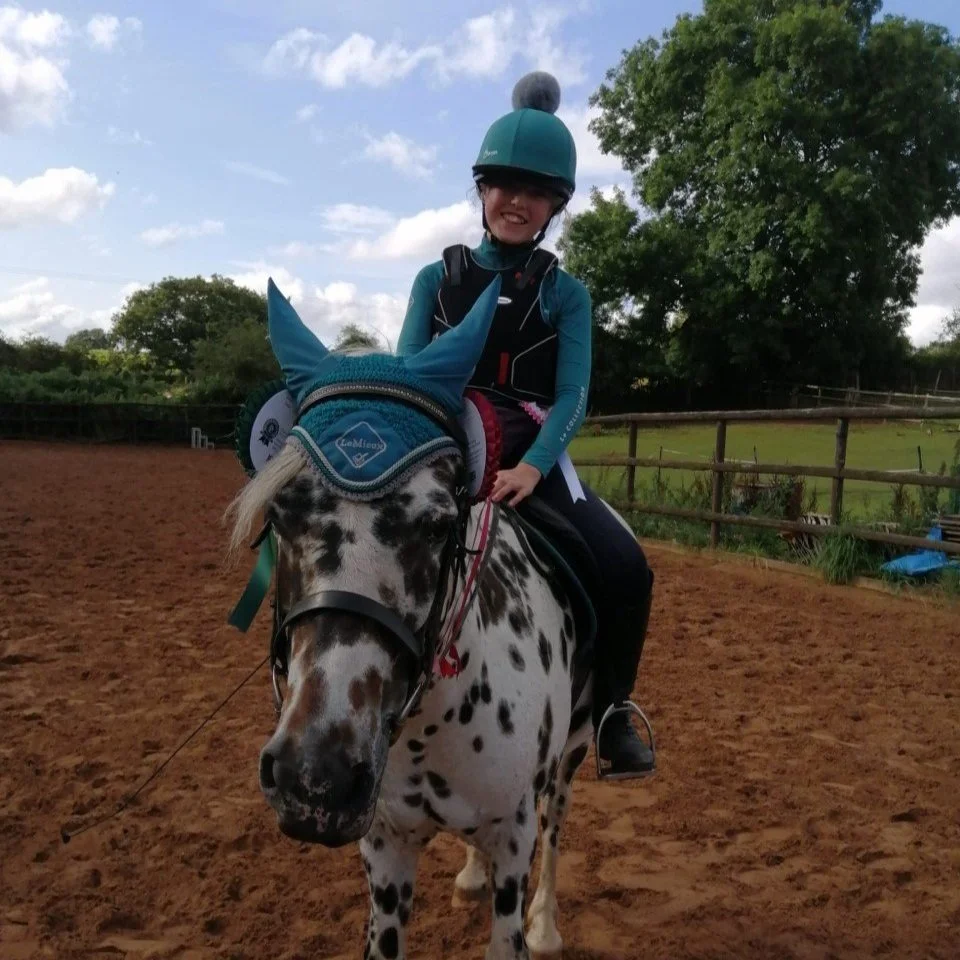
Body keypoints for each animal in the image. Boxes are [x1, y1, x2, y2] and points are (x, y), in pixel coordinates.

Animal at [227, 276, 607, 959]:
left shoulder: (514, 840)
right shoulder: (385, 849)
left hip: (573, 749)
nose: (315, 780)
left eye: (435, 524)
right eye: (280, 515)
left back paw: (547, 925)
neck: (436, 720)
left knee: (558, 824)